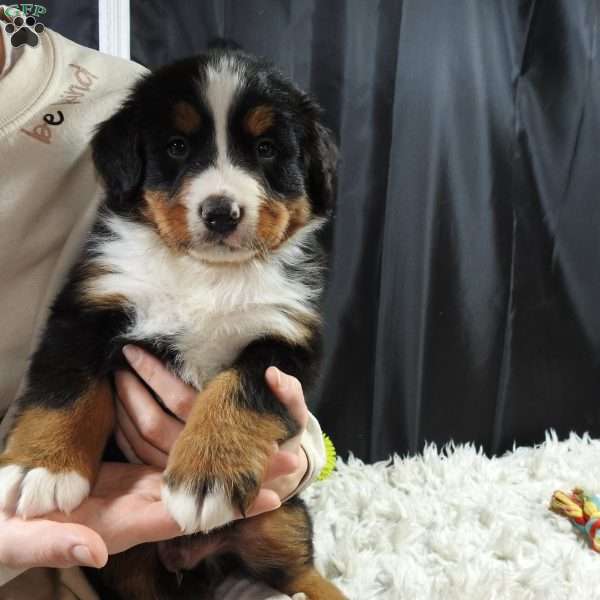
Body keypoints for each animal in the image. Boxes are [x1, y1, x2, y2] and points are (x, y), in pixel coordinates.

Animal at [0, 43, 344, 600]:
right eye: (178, 146)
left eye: (267, 149)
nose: (221, 212)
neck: (205, 274)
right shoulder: (89, 304)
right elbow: (67, 386)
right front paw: (41, 467)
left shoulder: (286, 338)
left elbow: (237, 390)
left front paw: (207, 474)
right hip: (130, 569)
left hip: (277, 518)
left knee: (302, 574)